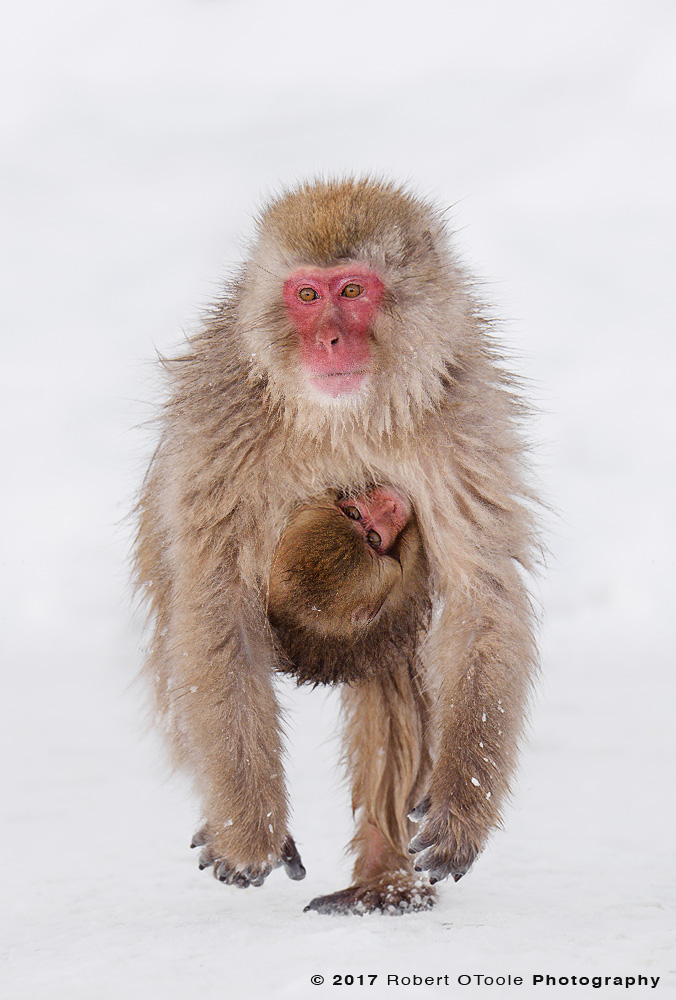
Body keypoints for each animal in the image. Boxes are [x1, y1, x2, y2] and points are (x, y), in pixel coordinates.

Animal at [136, 178, 540, 916]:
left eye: (352, 291)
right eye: (306, 294)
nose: (327, 337)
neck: (343, 416)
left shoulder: (462, 423)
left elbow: (483, 596)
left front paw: (460, 810)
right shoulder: (224, 428)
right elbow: (216, 606)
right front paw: (250, 832)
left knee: (392, 663)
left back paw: (384, 877)